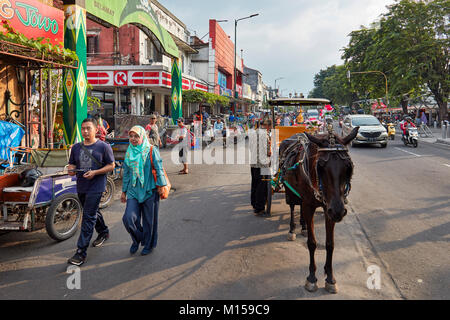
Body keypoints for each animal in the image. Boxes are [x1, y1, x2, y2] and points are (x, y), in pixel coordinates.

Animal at [278, 124, 358, 292]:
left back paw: (303, 226)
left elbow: (330, 244)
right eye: (320, 166)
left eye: (349, 167)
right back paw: (292, 229)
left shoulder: (329, 208)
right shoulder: (311, 205)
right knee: (293, 206)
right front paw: (312, 277)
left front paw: (330, 277)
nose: (339, 211)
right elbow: (312, 243)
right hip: (289, 189)